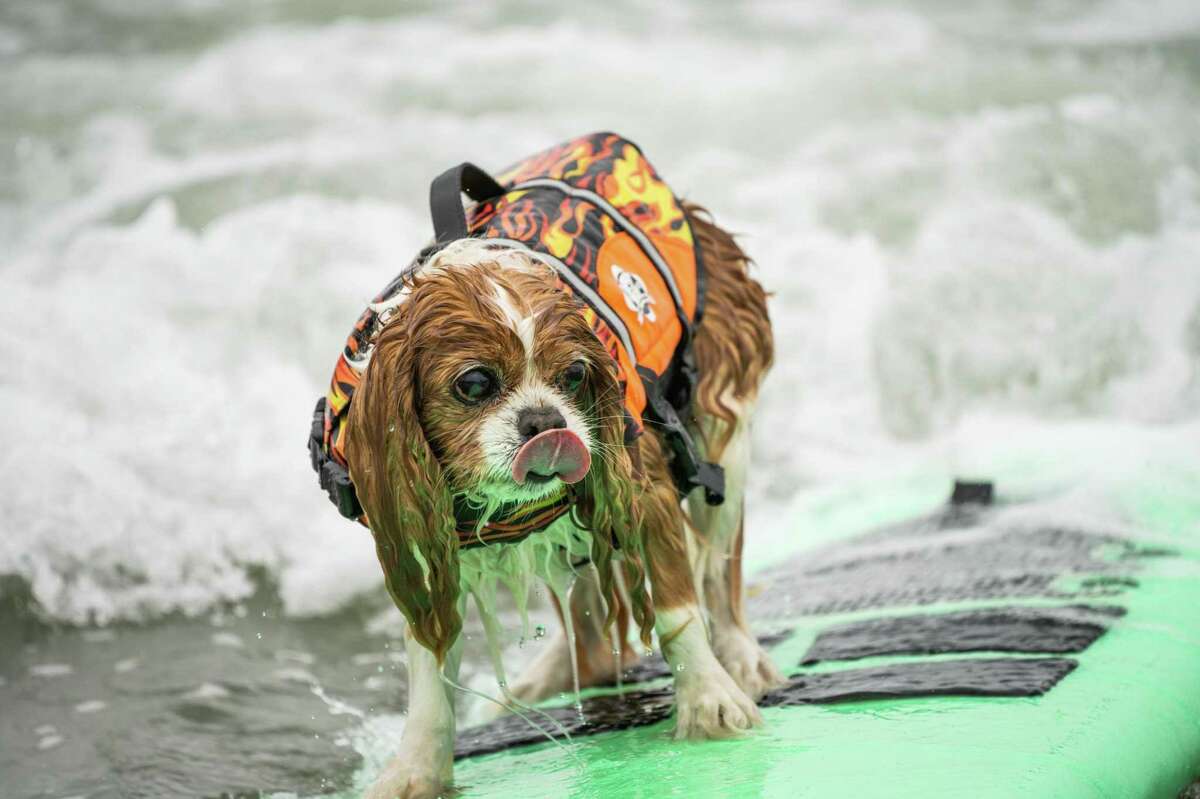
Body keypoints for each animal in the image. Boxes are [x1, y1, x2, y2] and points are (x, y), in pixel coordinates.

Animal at [321, 136, 777, 796]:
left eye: (576, 375)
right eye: (474, 383)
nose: (545, 419)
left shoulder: (643, 489)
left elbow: (678, 608)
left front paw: (708, 700)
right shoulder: (417, 534)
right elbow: (430, 678)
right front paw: (415, 770)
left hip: (724, 435)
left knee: (720, 571)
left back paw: (740, 657)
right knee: (587, 617)